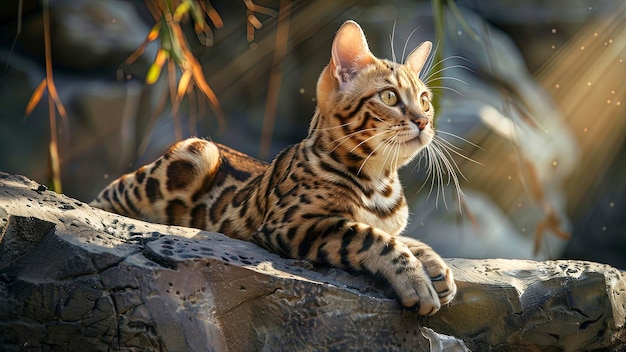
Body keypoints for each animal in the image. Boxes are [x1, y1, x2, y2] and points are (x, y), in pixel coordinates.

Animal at [90, 20, 454, 316]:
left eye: (424, 100)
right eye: (390, 97)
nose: (424, 122)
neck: (380, 181)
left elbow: (405, 238)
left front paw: (437, 268)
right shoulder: (294, 225)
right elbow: (375, 238)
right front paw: (416, 280)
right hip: (196, 151)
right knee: (110, 194)